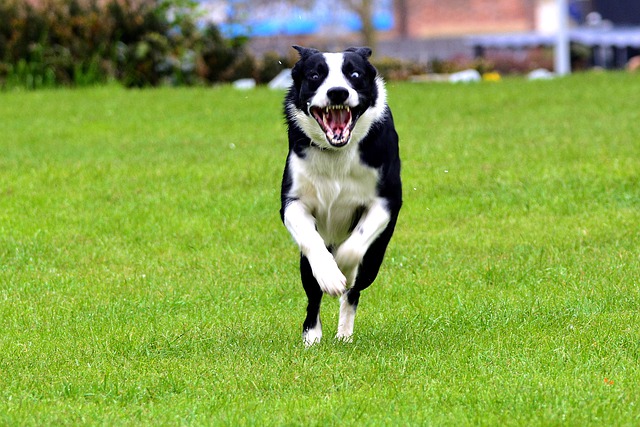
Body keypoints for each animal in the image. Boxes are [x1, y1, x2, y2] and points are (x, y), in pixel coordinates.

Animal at [278, 47, 400, 348]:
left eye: (354, 74)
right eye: (315, 75)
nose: (337, 92)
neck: (336, 153)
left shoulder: (387, 201)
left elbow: (355, 246)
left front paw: (343, 268)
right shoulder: (293, 202)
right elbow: (311, 241)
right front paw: (331, 275)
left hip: (376, 258)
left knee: (354, 291)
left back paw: (344, 333)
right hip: (305, 268)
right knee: (313, 295)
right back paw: (312, 336)